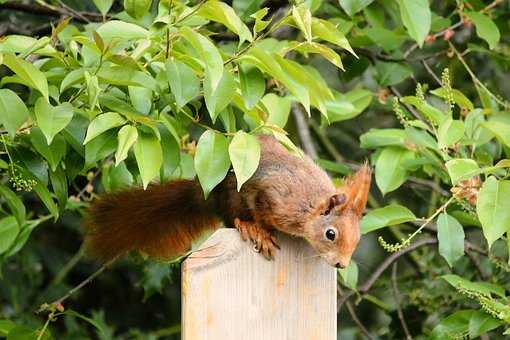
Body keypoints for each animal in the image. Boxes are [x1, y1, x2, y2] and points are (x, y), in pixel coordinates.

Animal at [84, 134, 370, 266]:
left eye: (357, 240)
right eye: (331, 234)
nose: (341, 265)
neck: (310, 207)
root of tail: (208, 195)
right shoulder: (274, 198)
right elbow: (261, 211)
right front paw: (262, 232)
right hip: (233, 198)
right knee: (233, 217)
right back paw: (249, 227)